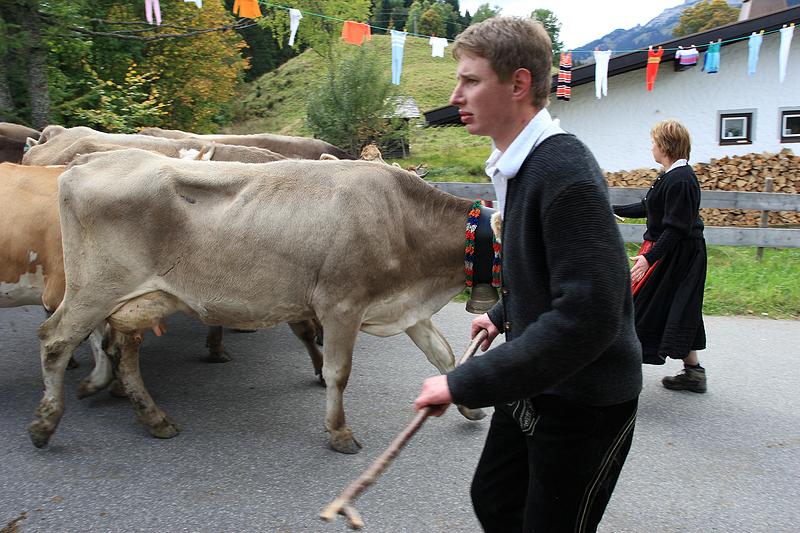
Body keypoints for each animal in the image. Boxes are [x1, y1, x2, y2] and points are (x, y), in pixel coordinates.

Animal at [28, 149, 490, 454]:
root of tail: (87, 163)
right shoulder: (341, 304)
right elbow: (338, 372)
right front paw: (339, 433)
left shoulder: (404, 306)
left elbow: (443, 354)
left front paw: (467, 406)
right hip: (93, 288)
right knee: (54, 340)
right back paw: (45, 424)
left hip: (140, 299)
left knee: (122, 347)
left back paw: (154, 419)